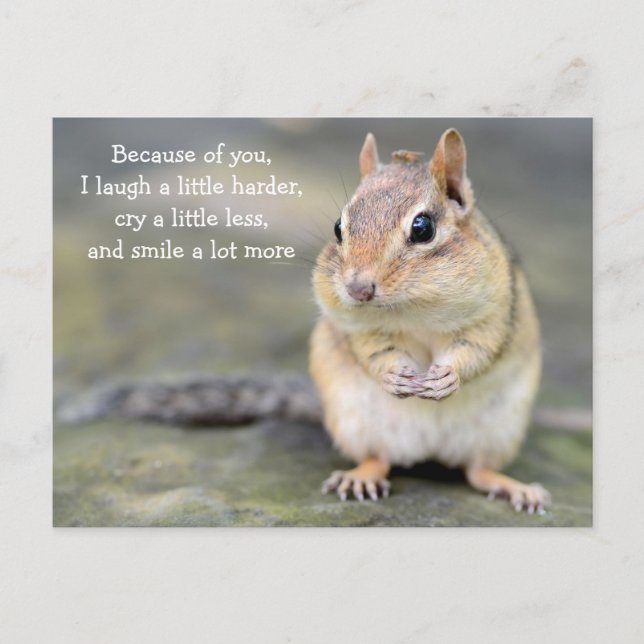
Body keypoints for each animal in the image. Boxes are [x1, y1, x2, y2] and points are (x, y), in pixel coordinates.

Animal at [310, 129, 550, 514]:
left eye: (423, 228)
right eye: (337, 228)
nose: (358, 289)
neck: (413, 308)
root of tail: (429, 449)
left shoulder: (493, 314)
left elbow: (479, 348)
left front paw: (447, 377)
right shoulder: (358, 327)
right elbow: (372, 351)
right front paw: (392, 375)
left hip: (499, 431)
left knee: (478, 472)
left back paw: (517, 489)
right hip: (354, 423)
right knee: (379, 459)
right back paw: (360, 477)